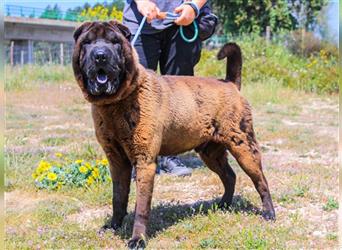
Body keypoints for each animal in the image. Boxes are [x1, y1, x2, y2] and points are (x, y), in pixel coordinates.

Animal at [72, 20, 276, 249]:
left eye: (114, 42)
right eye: (87, 42)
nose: (100, 56)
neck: (116, 103)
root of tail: (230, 83)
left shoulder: (145, 162)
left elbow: (141, 207)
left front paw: (138, 238)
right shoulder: (117, 161)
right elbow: (118, 197)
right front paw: (113, 225)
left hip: (244, 147)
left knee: (261, 181)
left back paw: (269, 213)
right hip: (211, 153)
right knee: (229, 176)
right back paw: (223, 204)